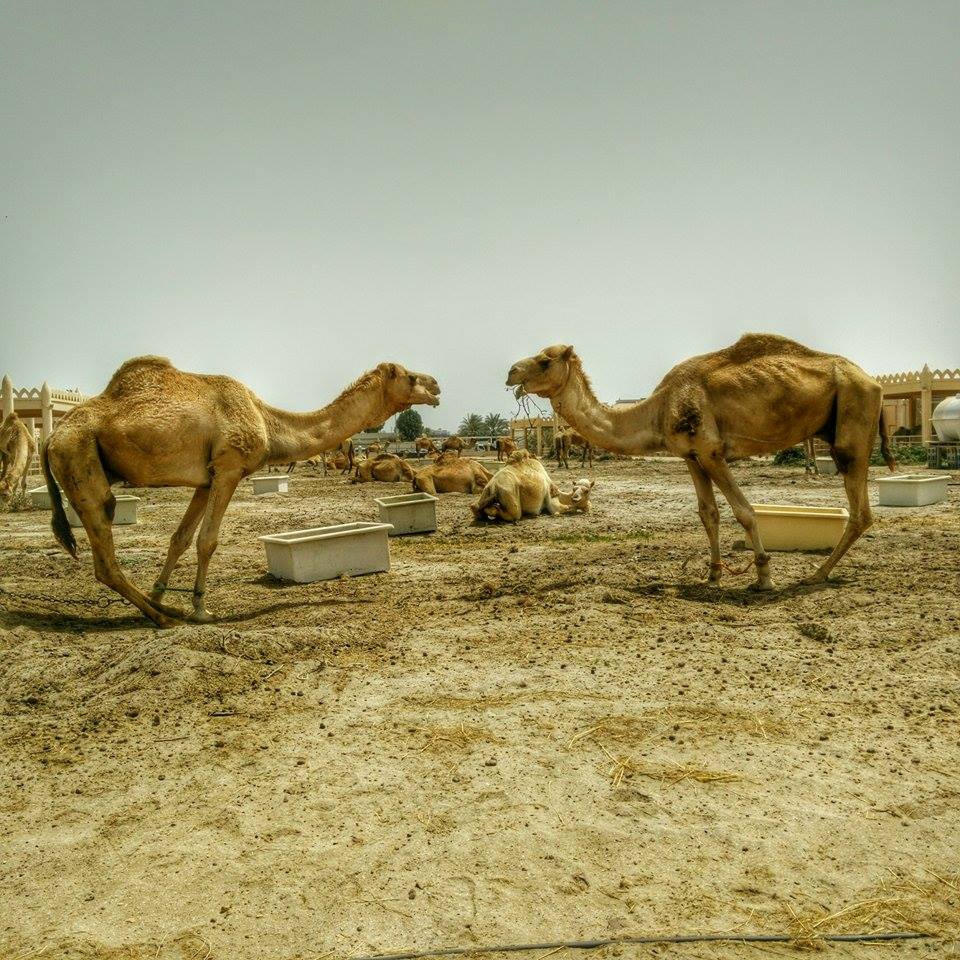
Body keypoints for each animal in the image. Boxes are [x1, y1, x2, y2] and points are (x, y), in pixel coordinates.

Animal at [45, 356, 442, 628]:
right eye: (410, 377)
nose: (437, 385)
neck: (267, 421)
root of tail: (51, 436)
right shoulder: (230, 468)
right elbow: (207, 540)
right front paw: (200, 608)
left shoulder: (207, 479)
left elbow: (180, 538)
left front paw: (160, 591)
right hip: (78, 457)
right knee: (104, 556)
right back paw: (164, 618)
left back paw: (161, 607)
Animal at [506, 338, 896, 592]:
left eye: (545, 360)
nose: (511, 371)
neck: (659, 407)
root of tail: (872, 381)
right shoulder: (691, 456)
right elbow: (708, 513)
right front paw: (712, 574)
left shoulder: (712, 452)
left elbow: (745, 512)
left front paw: (764, 578)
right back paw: (818, 572)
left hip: (853, 421)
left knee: (860, 511)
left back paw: (816, 574)